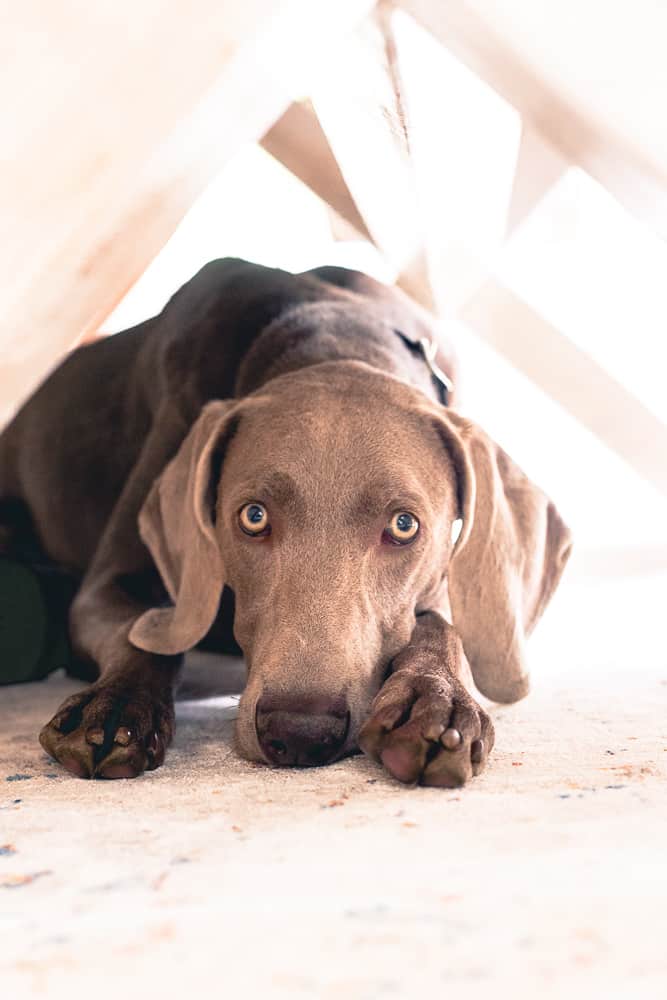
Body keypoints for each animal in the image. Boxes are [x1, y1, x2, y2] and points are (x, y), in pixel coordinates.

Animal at [0, 260, 576, 788]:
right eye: (253, 517)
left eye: (405, 526)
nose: (300, 732)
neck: (334, 328)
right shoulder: (107, 585)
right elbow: (143, 637)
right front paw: (115, 708)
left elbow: (442, 624)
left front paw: (436, 702)